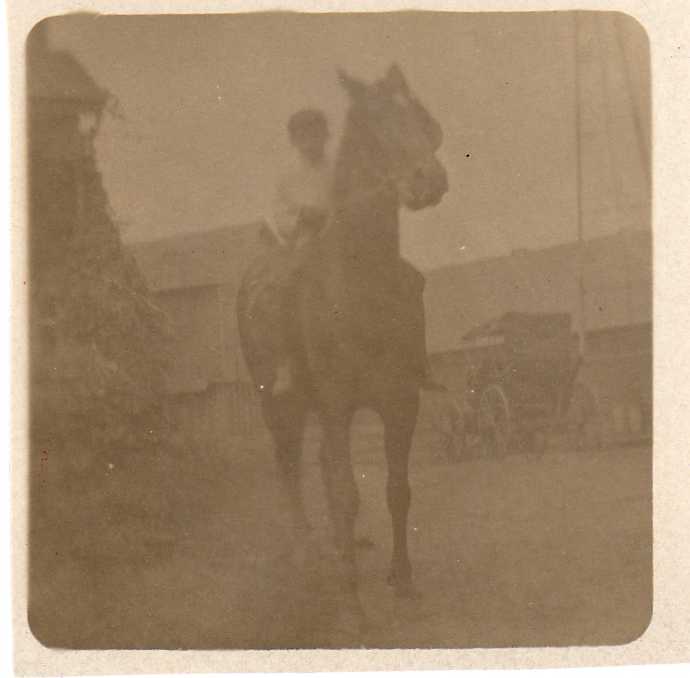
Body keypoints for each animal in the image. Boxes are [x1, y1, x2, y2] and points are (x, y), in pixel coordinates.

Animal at [237, 64, 448, 601]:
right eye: (375, 121)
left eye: (421, 116)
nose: (429, 180)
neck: (361, 286)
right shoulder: (336, 405)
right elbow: (347, 492)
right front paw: (351, 595)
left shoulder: (401, 401)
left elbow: (397, 489)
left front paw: (402, 578)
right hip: (280, 406)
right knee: (290, 467)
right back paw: (307, 551)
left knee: (317, 467)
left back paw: (339, 543)